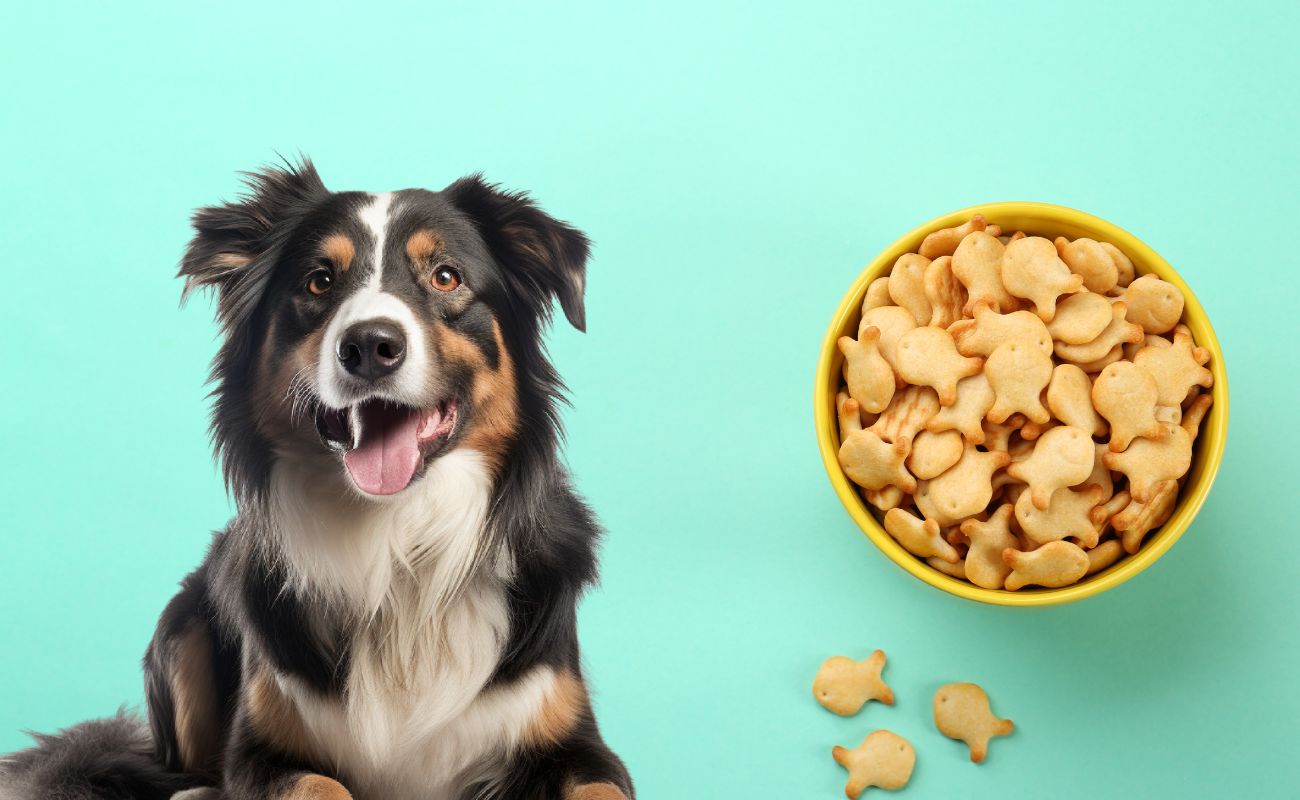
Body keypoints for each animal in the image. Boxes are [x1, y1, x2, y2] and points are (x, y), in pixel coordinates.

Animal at [0, 162, 631, 800]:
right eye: (319, 282)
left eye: (446, 276)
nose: (371, 346)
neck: (397, 541)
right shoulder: (260, 751)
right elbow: (316, 784)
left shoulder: (580, 744)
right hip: (180, 629)